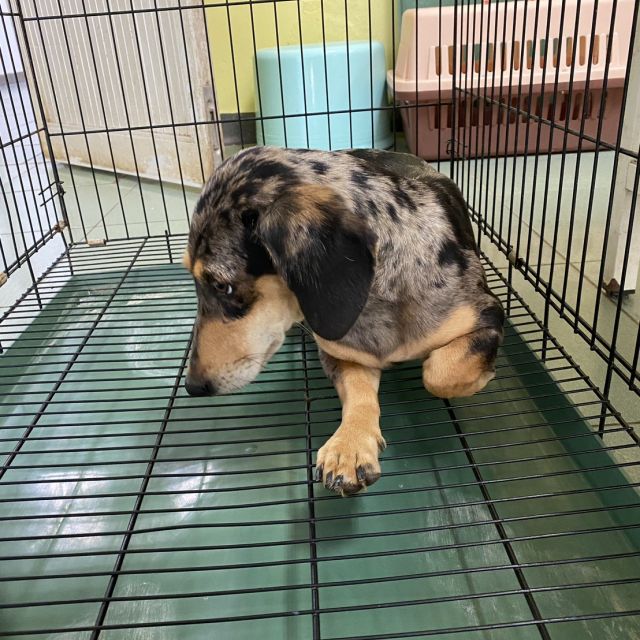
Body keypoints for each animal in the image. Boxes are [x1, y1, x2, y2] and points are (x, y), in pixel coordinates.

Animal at [183, 146, 504, 496]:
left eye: (222, 286)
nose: (192, 387)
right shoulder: (341, 351)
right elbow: (359, 393)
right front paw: (349, 446)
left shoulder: (489, 314)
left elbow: (439, 374)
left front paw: (479, 379)